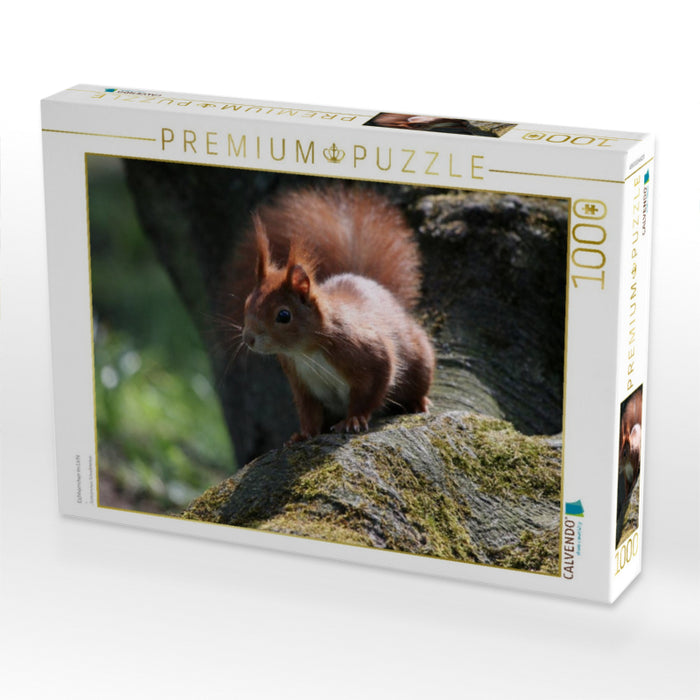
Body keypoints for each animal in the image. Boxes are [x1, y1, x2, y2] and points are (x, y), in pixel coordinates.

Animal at [227, 185, 435, 443]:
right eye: (247, 303)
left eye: (284, 315)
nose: (249, 339)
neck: (306, 351)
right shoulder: (301, 382)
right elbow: (308, 410)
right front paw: (304, 433)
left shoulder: (368, 352)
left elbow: (371, 390)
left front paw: (354, 419)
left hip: (419, 359)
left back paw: (418, 401)